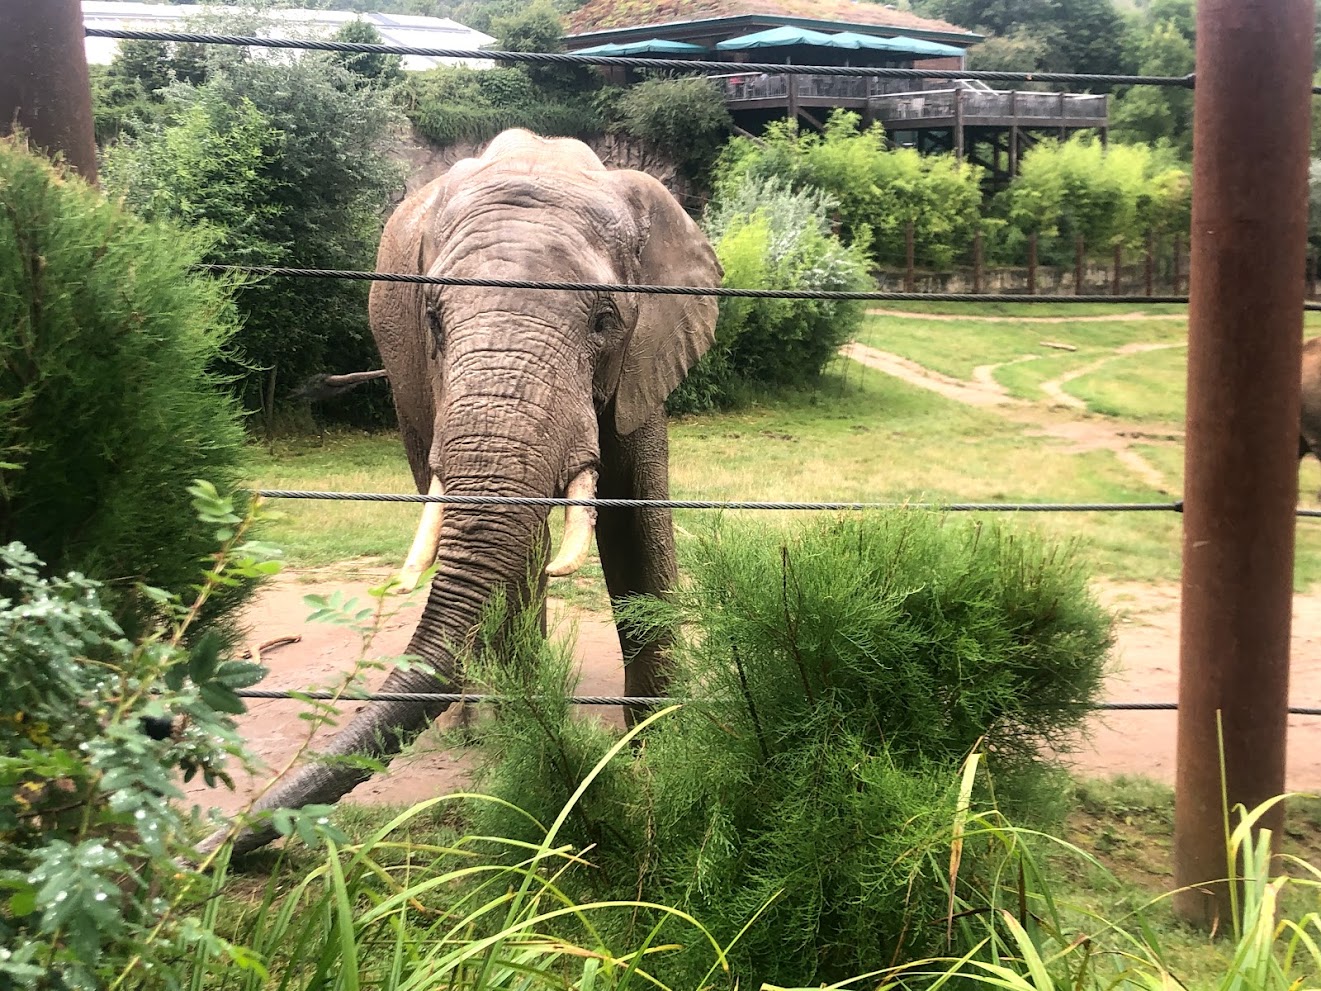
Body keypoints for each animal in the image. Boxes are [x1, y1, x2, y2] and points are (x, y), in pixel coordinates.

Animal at [204, 129, 722, 856]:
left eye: (604, 319)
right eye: (433, 317)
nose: (208, 849)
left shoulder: (647, 350)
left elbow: (635, 512)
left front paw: (659, 740)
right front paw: (531, 736)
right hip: (403, 377)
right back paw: (489, 717)